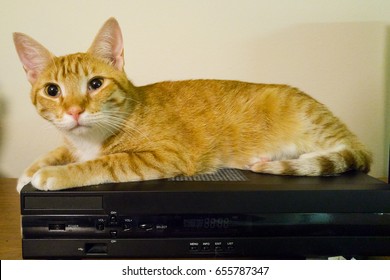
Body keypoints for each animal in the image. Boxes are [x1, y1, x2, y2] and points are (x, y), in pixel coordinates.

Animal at [12, 17, 372, 191]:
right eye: (52, 90)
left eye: (96, 84)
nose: (74, 111)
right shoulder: (70, 143)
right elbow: (58, 150)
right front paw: (28, 172)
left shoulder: (164, 155)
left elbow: (105, 163)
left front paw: (53, 174)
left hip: (314, 125)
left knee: (350, 153)